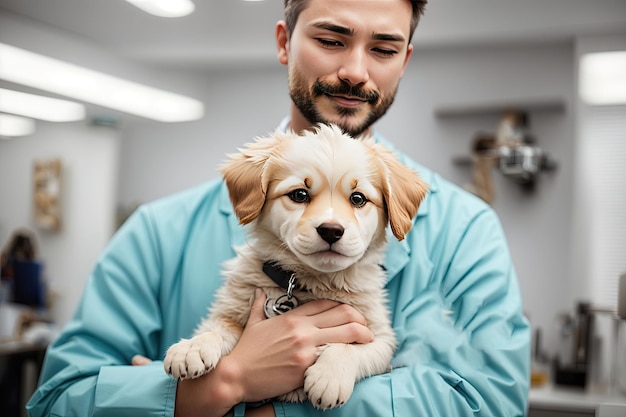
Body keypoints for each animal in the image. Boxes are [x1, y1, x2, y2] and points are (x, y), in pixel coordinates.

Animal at [163, 122, 426, 408]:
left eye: (358, 199)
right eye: (299, 194)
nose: (331, 230)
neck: (313, 282)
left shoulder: (381, 338)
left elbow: (350, 348)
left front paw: (329, 377)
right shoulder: (230, 308)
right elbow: (219, 326)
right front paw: (193, 347)